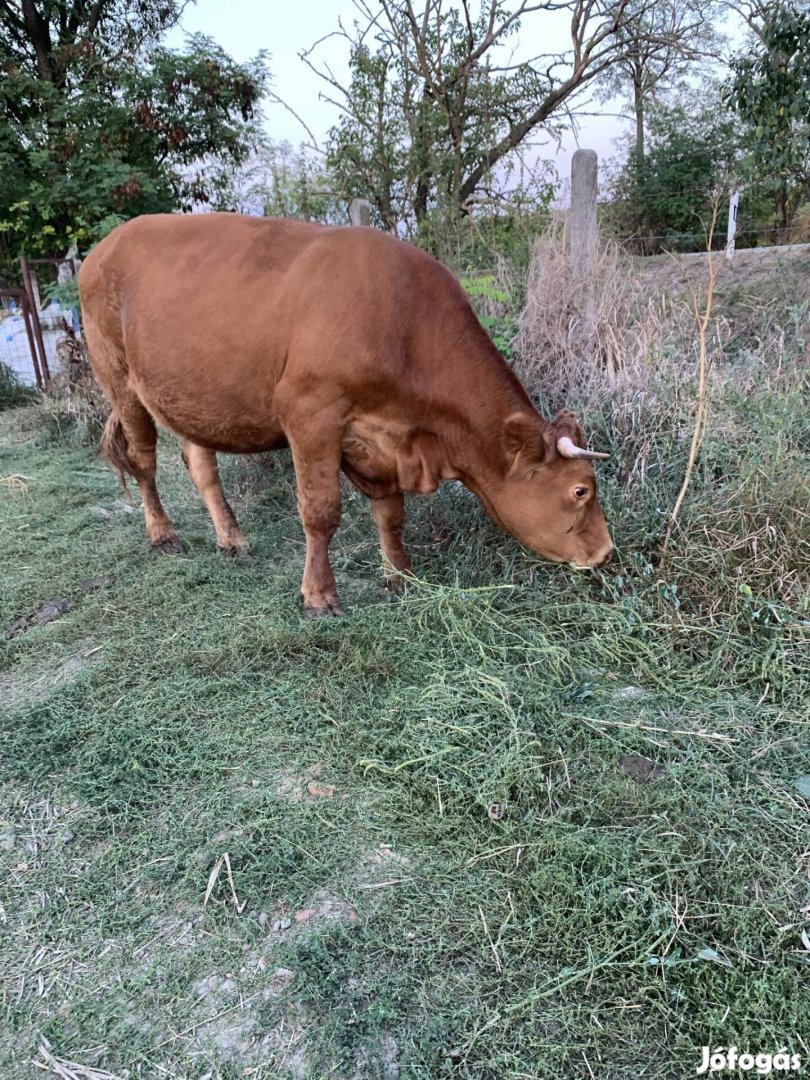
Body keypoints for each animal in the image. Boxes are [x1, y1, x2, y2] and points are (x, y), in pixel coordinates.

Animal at [81, 212, 613, 617]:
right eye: (580, 490)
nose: (606, 553)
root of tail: (103, 246)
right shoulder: (309, 412)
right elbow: (321, 512)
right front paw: (319, 596)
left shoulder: (380, 439)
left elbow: (391, 514)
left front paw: (401, 576)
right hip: (119, 380)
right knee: (144, 462)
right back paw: (163, 535)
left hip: (192, 393)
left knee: (200, 463)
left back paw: (232, 539)